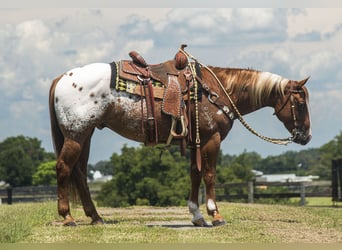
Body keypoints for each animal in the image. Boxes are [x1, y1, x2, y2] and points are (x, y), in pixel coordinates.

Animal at [49, 48, 312, 227]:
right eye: (300, 103)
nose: (306, 136)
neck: (216, 90)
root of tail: (62, 77)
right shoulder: (211, 139)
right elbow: (209, 175)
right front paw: (215, 214)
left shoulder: (196, 140)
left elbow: (195, 174)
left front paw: (197, 216)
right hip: (76, 134)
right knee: (64, 168)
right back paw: (68, 217)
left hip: (86, 134)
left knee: (80, 173)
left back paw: (95, 217)